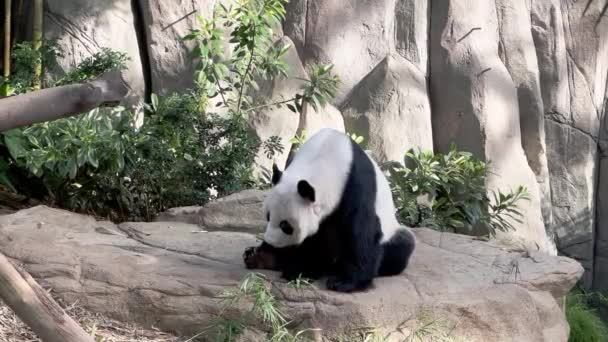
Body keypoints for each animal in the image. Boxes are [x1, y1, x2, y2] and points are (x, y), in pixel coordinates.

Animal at [242, 127, 418, 292]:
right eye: (268, 216)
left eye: (286, 226)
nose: (271, 241)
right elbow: (313, 240)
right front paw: (300, 268)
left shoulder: (358, 185)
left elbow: (361, 233)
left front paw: (344, 282)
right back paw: (260, 256)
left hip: (392, 233)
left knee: (402, 245)